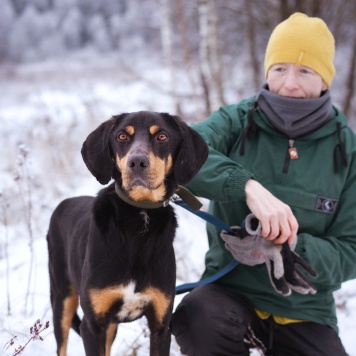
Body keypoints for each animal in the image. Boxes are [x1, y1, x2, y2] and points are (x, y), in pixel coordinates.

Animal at [47, 110, 209, 354]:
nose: (137, 162)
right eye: (122, 136)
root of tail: (64, 203)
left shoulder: (161, 325)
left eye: (162, 136)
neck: (139, 216)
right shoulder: (92, 325)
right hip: (62, 299)